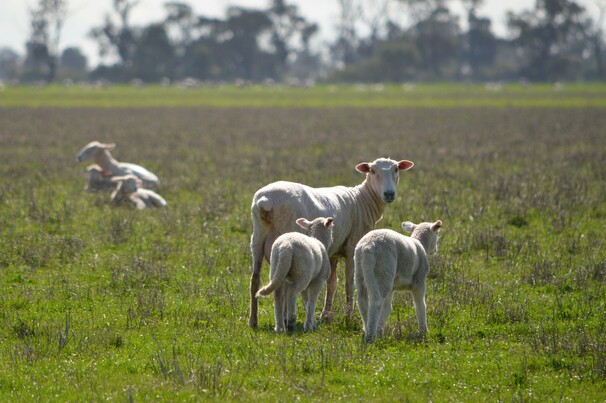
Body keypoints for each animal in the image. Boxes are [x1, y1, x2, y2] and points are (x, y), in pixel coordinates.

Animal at [249, 156, 416, 330]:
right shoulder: (352, 246)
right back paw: (286, 321)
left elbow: (332, 283)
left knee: (255, 280)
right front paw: (349, 317)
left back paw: (253, 321)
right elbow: (349, 283)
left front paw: (326, 315)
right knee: (282, 284)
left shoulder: (333, 251)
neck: (363, 200)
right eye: (372, 170)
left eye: (396, 169)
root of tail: (266, 201)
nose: (389, 194)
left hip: (258, 240)